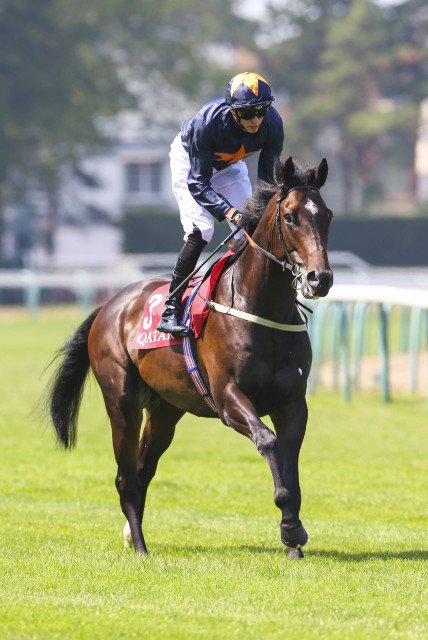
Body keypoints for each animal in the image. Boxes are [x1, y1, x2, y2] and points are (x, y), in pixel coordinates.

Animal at [45, 156, 333, 559]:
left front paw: (293, 534)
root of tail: (110, 305)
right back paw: (140, 547)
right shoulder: (229, 398)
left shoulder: (292, 402)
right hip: (122, 402)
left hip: (165, 409)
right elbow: (269, 441)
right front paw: (291, 529)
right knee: (125, 476)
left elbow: (290, 456)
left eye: (327, 216)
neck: (260, 305)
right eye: (290, 217)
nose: (319, 278)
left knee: (143, 469)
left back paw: (132, 534)